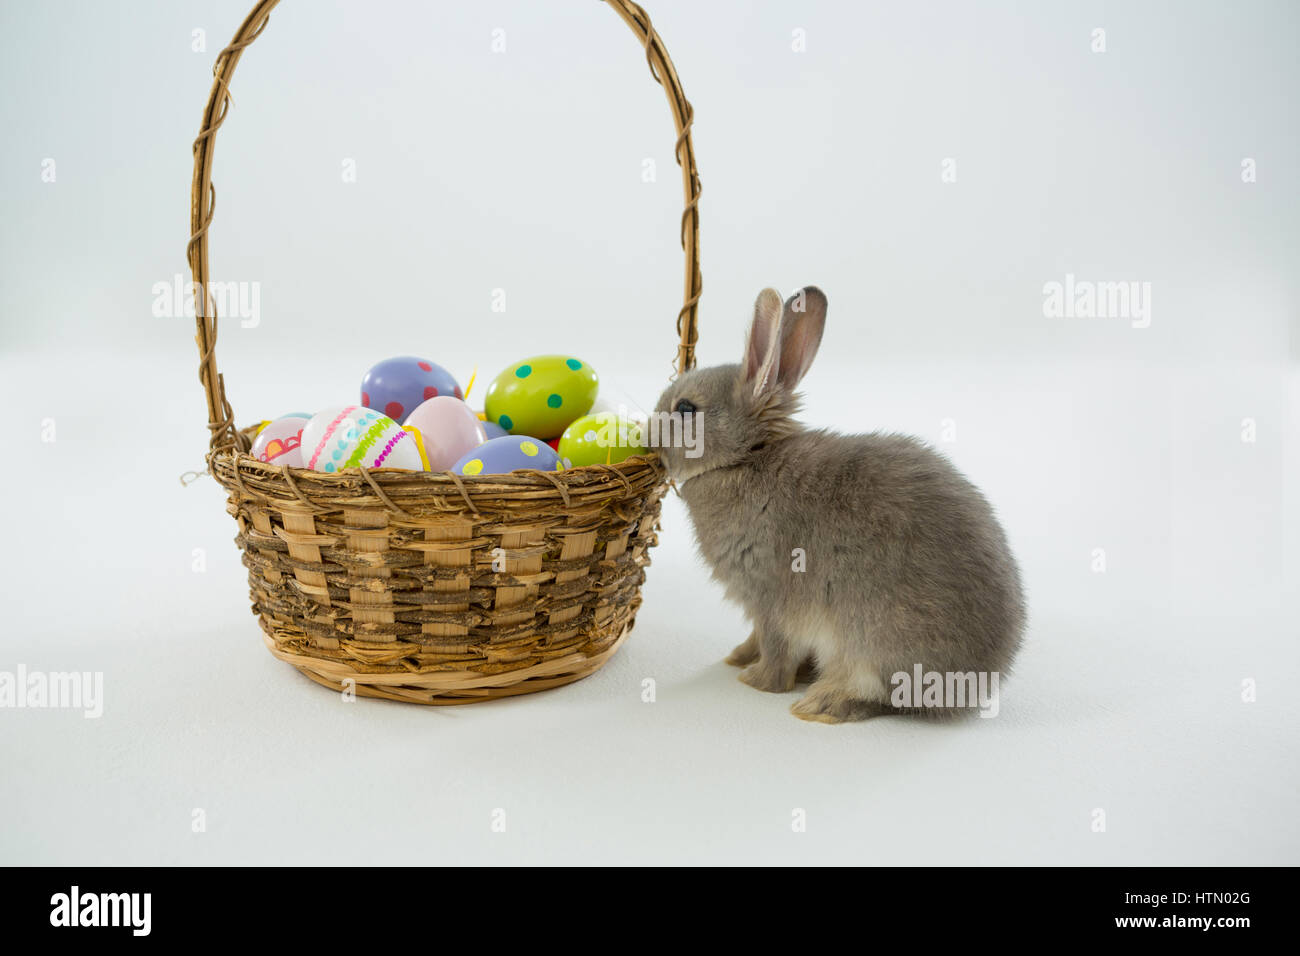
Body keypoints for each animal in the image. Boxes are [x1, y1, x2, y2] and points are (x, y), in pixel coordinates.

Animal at [651, 286, 1025, 722]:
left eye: (685, 409)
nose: (647, 435)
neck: (746, 458)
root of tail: (977, 683)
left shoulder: (770, 598)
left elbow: (775, 647)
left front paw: (756, 680)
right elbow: (756, 638)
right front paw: (738, 658)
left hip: (868, 638)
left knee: (876, 692)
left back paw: (820, 703)